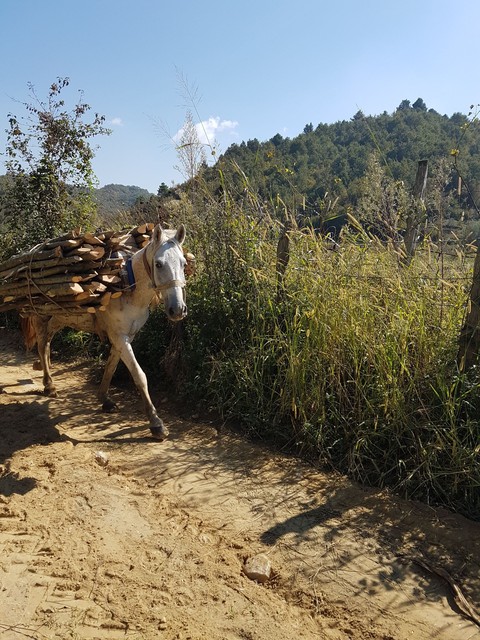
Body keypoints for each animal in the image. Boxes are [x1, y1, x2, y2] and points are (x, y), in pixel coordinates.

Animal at [21, 223, 188, 440]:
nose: (178, 310)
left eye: (183, 264)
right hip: (40, 315)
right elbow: (139, 376)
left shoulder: (124, 336)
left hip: (58, 318)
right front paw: (156, 422)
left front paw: (104, 399)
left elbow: (111, 366)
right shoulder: (120, 337)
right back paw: (49, 385)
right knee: (42, 345)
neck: (127, 289)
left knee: (47, 342)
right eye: (159, 264)